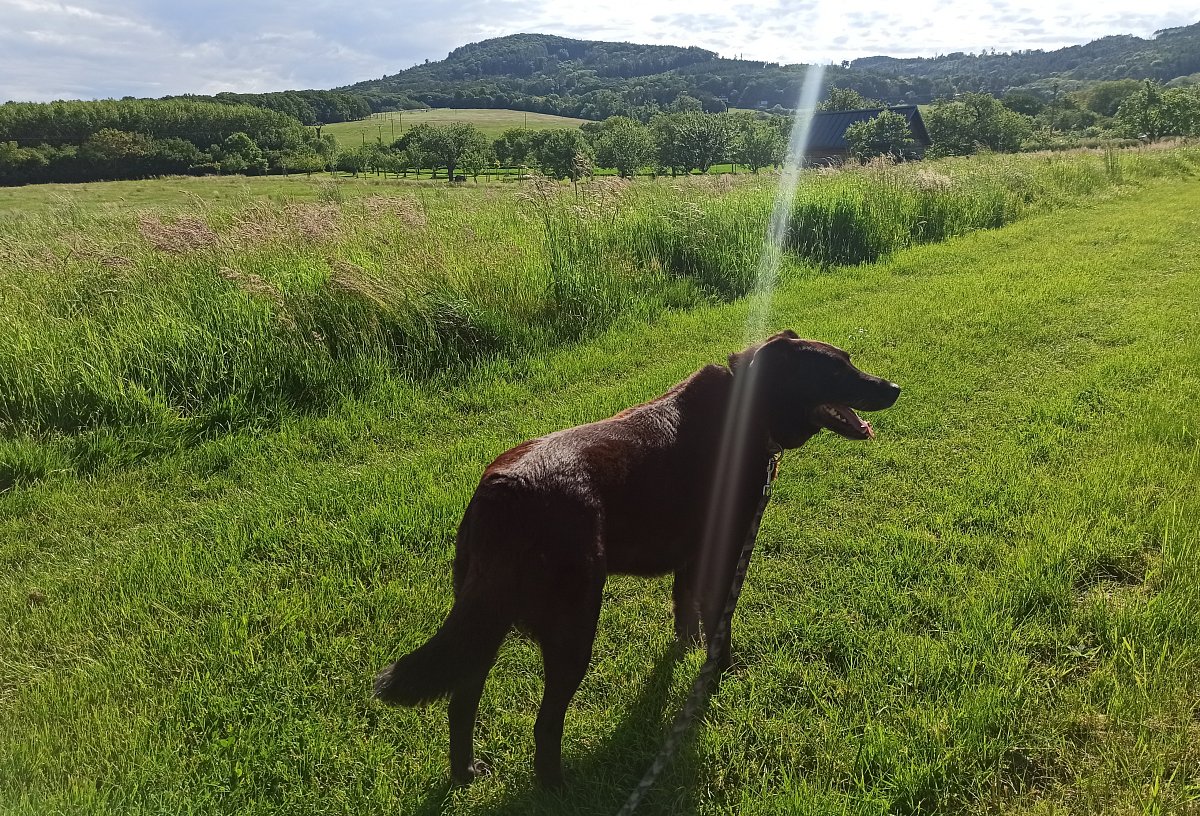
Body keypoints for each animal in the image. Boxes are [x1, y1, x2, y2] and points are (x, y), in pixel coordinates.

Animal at [374, 328, 902, 787]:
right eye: (835, 371)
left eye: (850, 361)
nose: (894, 388)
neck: (751, 413)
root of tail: (503, 493)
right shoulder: (727, 552)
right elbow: (720, 624)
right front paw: (719, 676)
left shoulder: (692, 557)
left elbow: (686, 609)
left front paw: (688, 651)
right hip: (572, 626)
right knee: (545, 722)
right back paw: (558, 789)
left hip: (484, 620)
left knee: (461, 700)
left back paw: (466, 773)